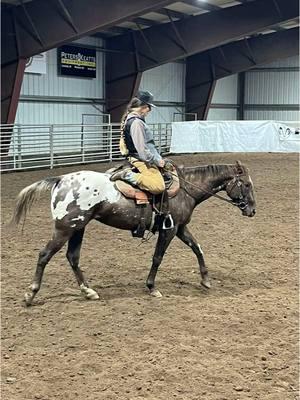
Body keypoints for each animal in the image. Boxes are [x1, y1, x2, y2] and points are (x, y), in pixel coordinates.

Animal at [11, 161, 255, 304]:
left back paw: (89, 291)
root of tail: (61, 179)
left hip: (78, 228)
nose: (252, 210)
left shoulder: (180, 228)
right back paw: (31, 294)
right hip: (65, 228)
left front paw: (205, 280)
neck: (186, 190)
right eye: (246, 184)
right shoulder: (169, 230)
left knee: (73, 257)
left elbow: (198, 248)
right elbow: (158, 257)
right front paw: (152, 287)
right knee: (44, 255)